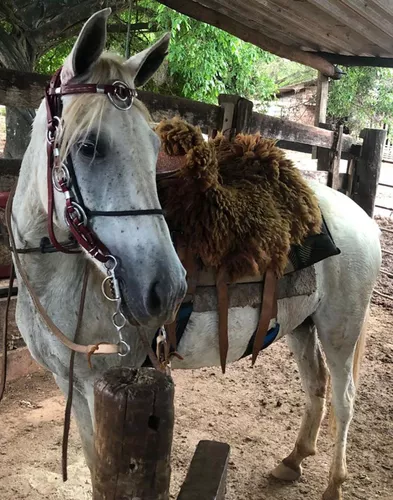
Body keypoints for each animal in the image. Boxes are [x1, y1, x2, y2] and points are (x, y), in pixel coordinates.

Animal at [9, 7, 380, 500]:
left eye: (154, 147)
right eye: (88, 147)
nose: (166, 288)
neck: (63, 277)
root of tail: (361, 217)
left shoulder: (101, 384)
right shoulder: (73, 386)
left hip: (341, 329)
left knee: (344, 396)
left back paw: (334, 483)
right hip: (303, 325)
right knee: (315, 384)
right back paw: (293, 461)